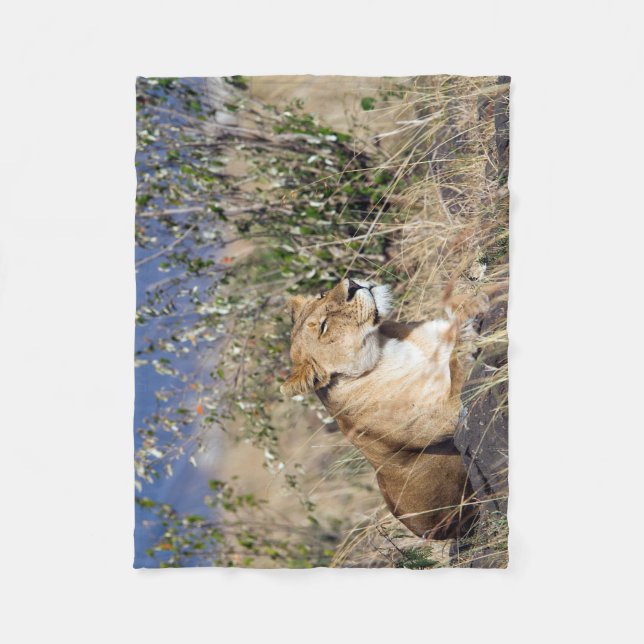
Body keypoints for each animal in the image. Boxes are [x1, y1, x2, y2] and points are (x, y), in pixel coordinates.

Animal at [281, 277, 488, 539]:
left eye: (321, 295)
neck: (385, 348)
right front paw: (466, 327)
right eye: (323, 327)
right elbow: (455, 363)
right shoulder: (448, 415)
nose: (352, 285)